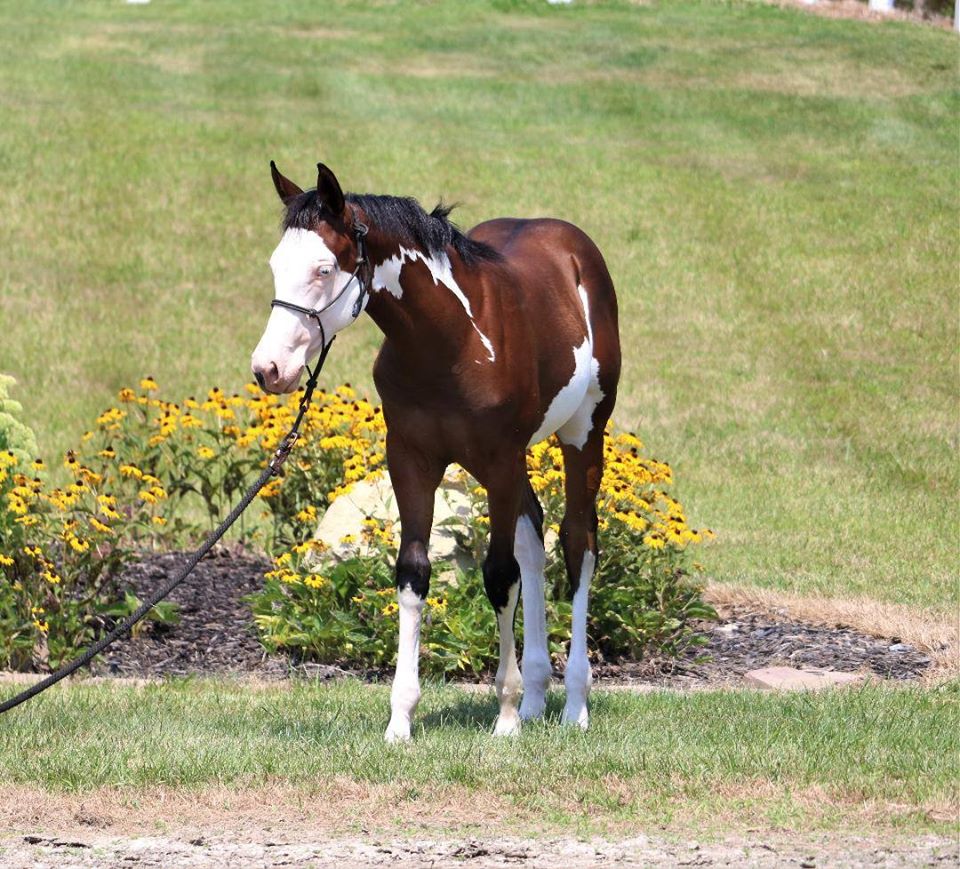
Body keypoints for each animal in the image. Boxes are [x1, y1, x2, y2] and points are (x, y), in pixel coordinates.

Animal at [249, 164, 624, 740]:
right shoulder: (411, 459)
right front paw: (400, 720)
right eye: (275, 265)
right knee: (534, 538)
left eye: (323, 268)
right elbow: (413, 573)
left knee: (577, 543)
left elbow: (499, 576)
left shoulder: (500, 459)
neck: (451, 340)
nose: (269, 369)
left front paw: (505, 717)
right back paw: (537, 696)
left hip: (582, 435)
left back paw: (573, 707)